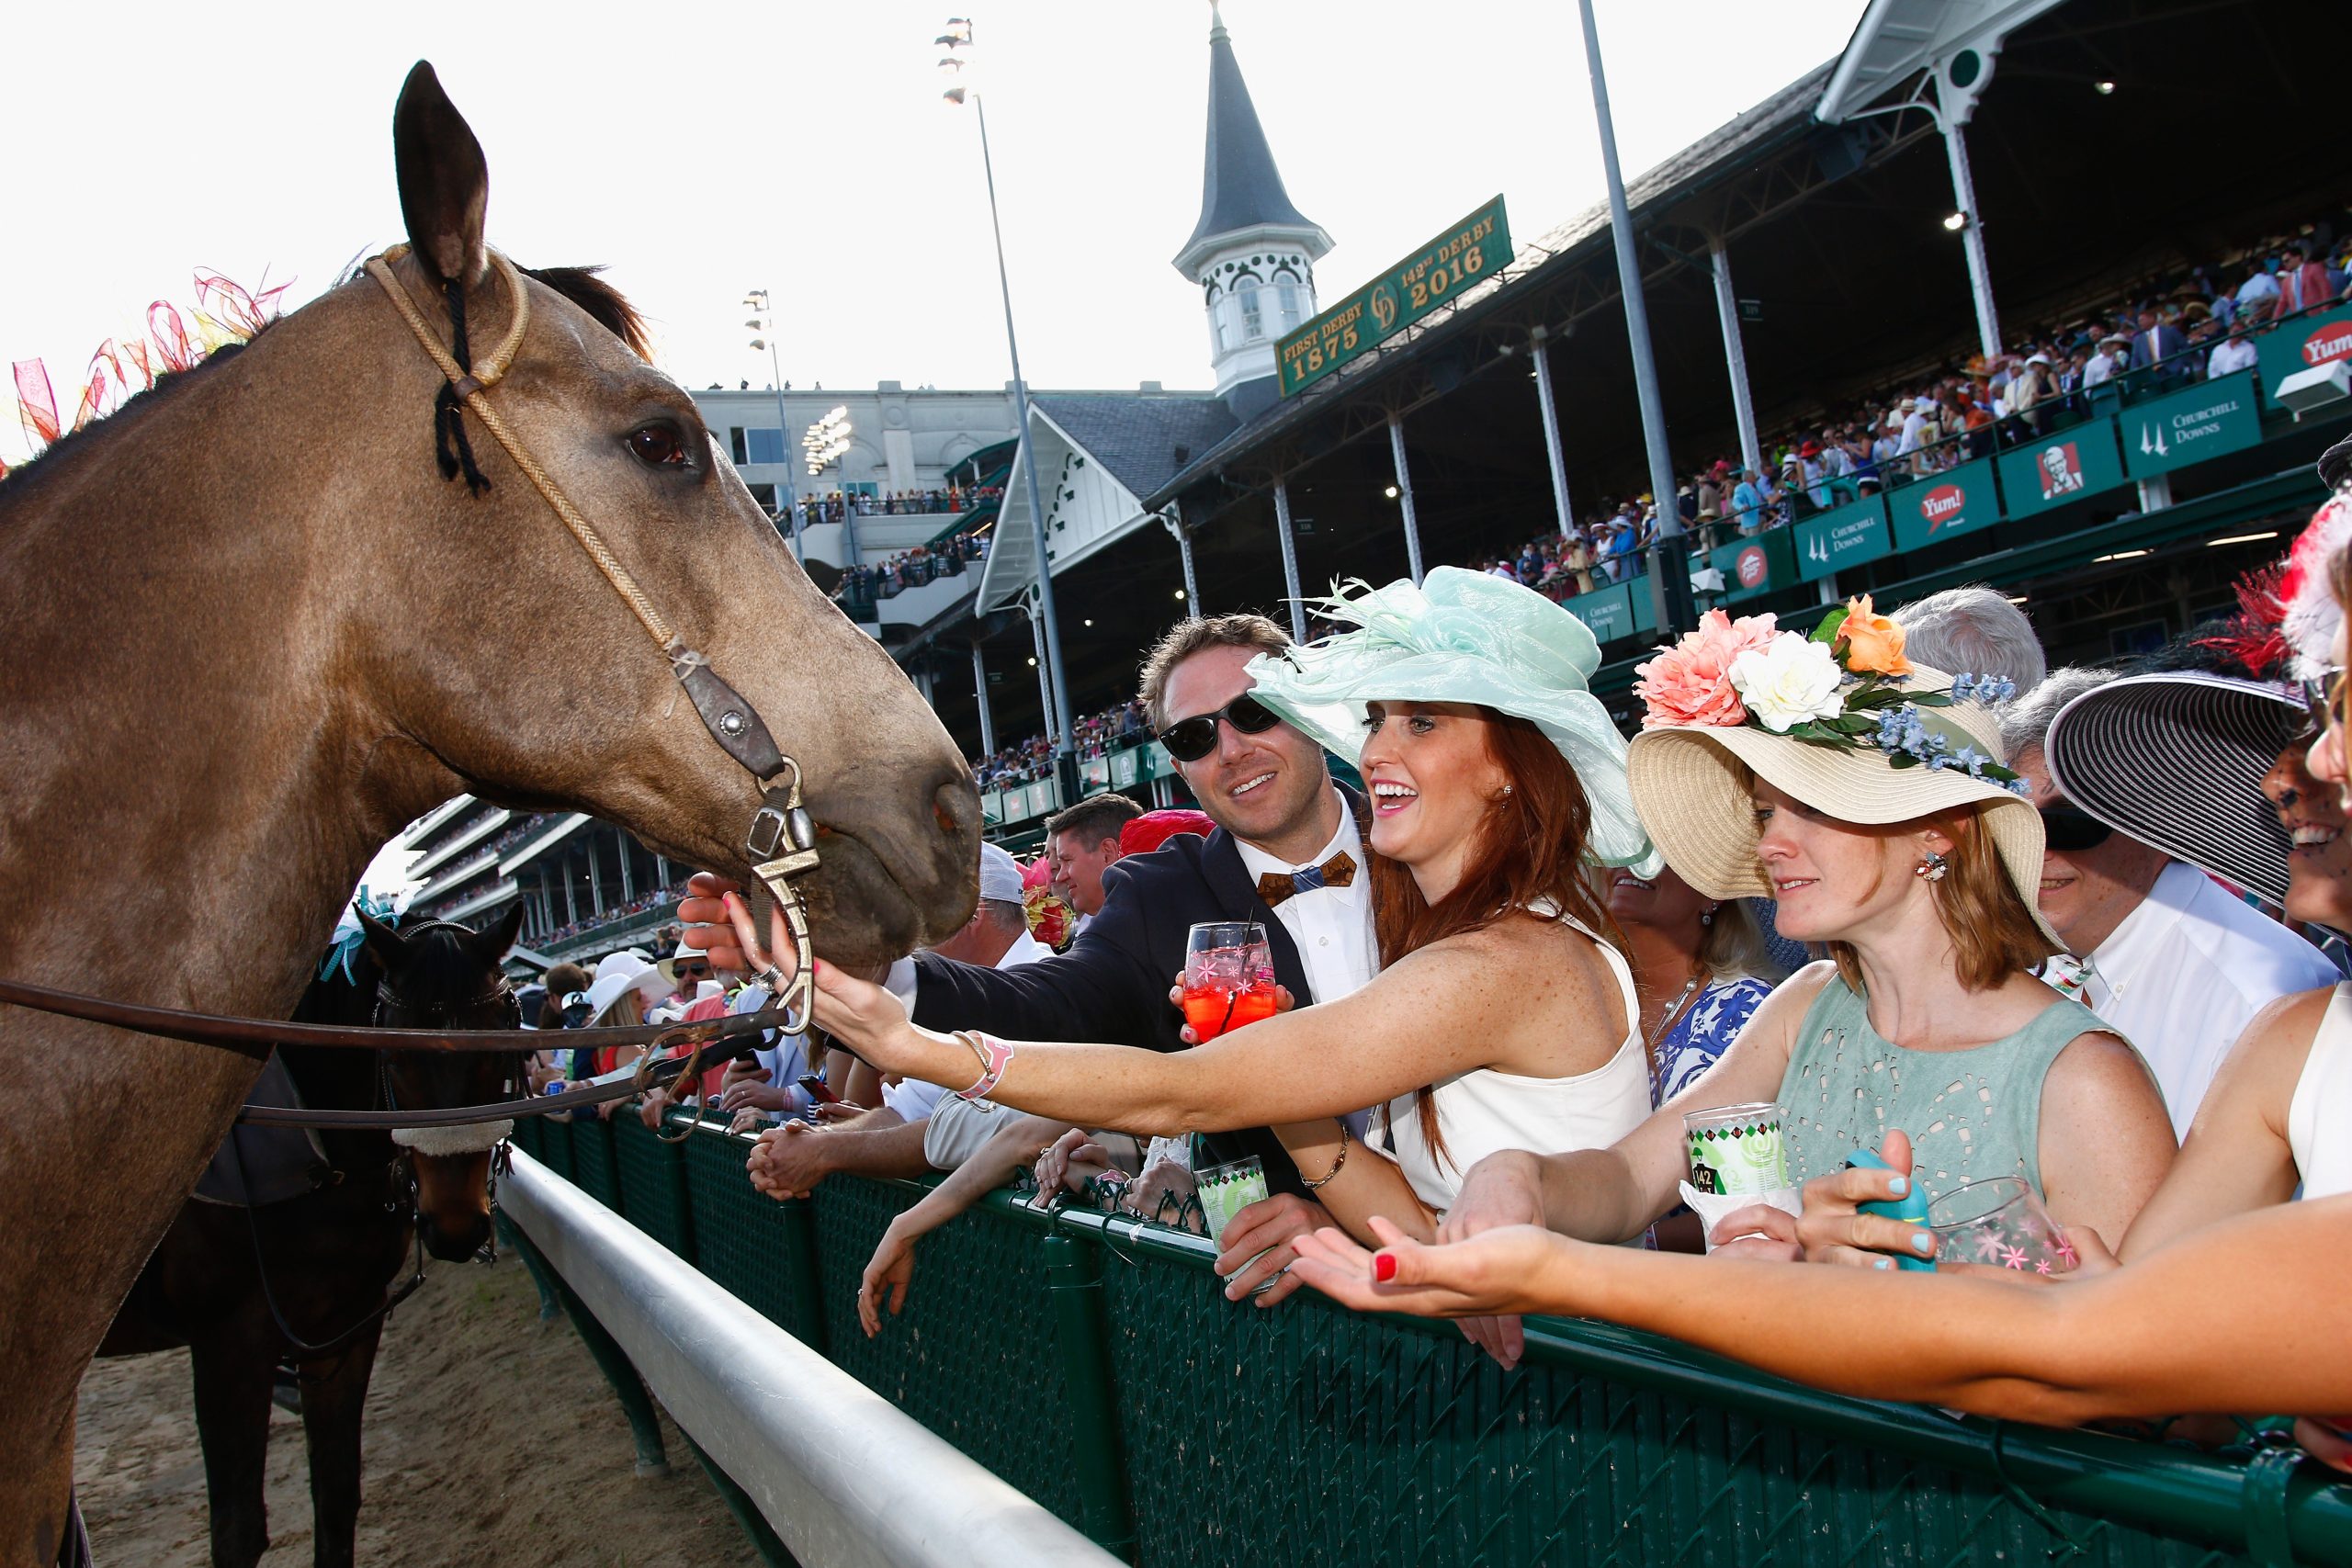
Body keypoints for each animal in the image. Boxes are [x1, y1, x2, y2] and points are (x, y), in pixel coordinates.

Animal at [102, 907, 524, 1568]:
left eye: (497, 1049)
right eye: (393, 1056)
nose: (456, 1225)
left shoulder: (344, 1321)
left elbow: (337, 1491)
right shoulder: (228, 1339)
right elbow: (238, 1530)